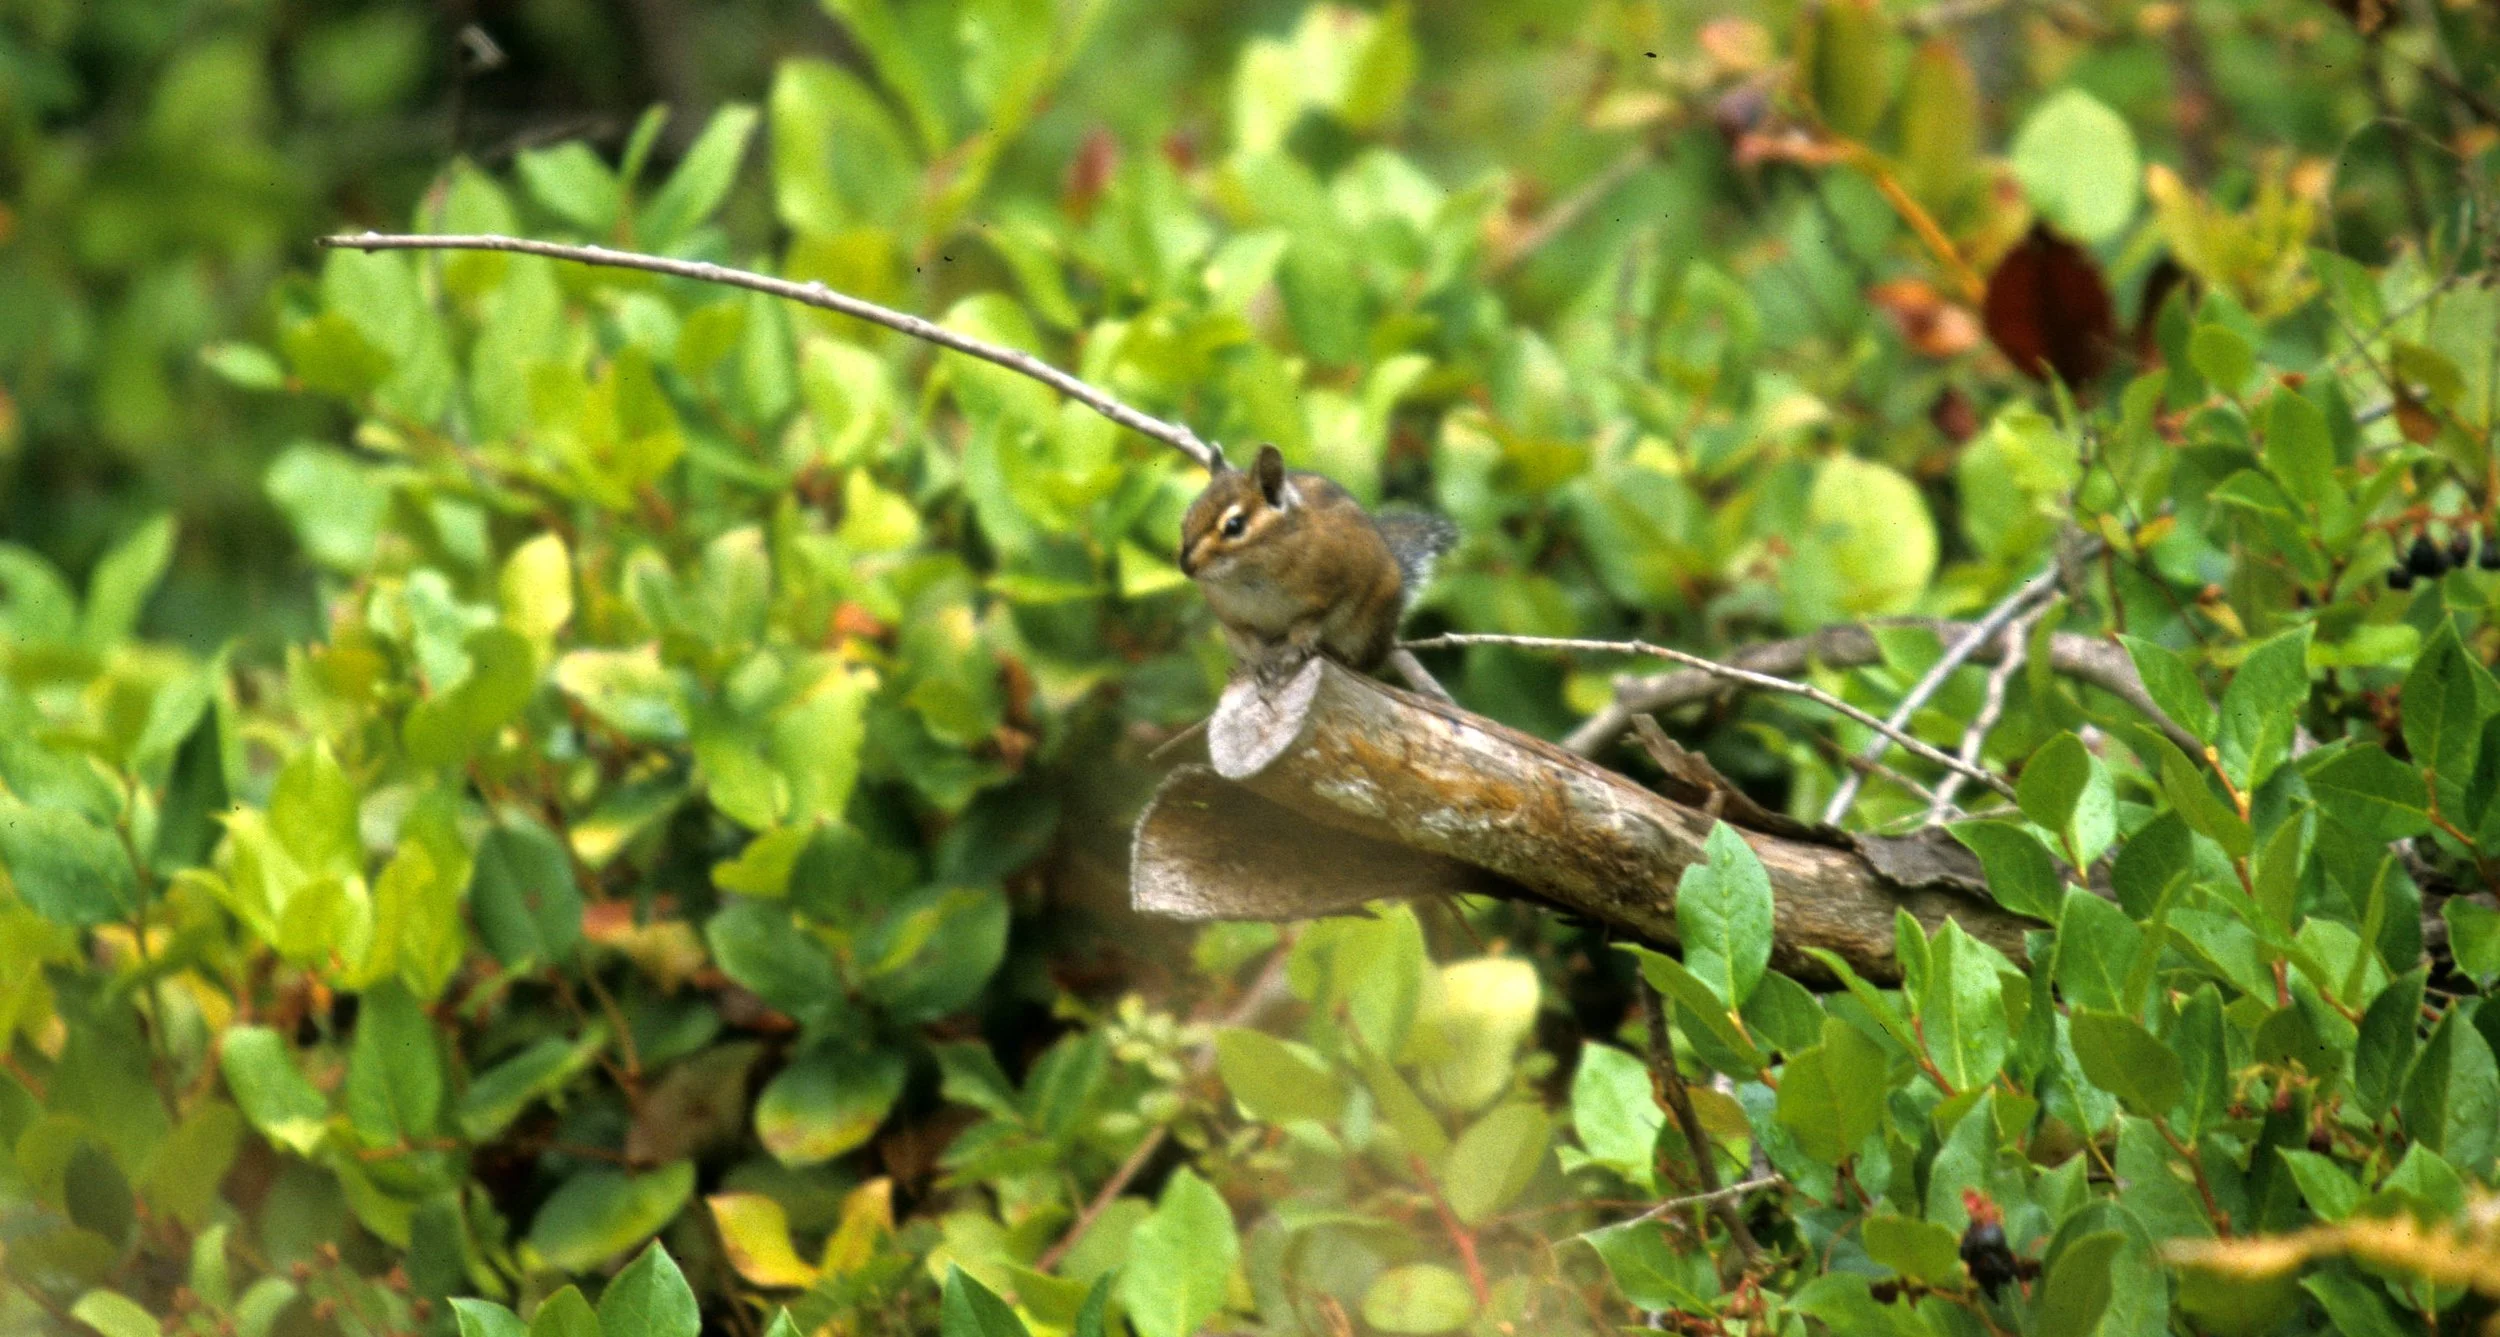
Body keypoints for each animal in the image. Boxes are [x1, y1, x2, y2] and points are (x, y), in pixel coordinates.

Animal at [1178, 443, 1457, 693]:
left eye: (1234, 526)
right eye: (1186, 518)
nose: (1186, 565)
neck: (1250, 576)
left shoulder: (1334, 589)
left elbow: (1311, 621)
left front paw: (1296, 646)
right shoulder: (1232, 619)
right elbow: (1250, 639)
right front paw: (1258, 662)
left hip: (1368, 629)